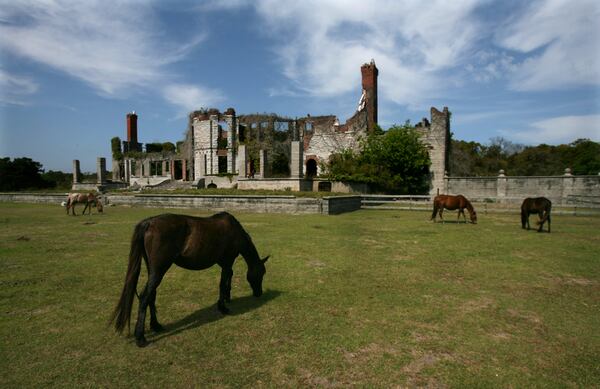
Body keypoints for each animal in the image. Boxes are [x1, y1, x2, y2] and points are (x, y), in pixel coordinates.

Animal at [110, 211, 270, 348]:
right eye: (262, 273)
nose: (259, 293)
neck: (234, 232)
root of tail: (149, 222)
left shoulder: (224, 263)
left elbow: (228, 279)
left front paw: (227, 298)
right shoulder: (227, 261)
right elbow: (222, 283)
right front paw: (223, 307)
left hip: (153, 270)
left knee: (151, 295)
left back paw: (156, 326)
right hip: (159, 270)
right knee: (145, 297)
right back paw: (140, 338)